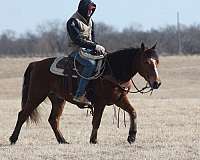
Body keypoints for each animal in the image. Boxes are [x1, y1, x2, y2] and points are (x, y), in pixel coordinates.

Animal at [10, 42, 162, 145]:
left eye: (157, 62)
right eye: (146, 61)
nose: (157, 83)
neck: (112, 71)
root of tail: (36, 63)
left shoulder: (119, 98)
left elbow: (133, 112)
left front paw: (132, 137)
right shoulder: (100, 102)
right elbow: (97, 121)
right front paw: (93, 140)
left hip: (58, 99)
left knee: (53, 119)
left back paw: (63, 140)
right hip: (36, 95)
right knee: (23, 114)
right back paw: (13, 139)